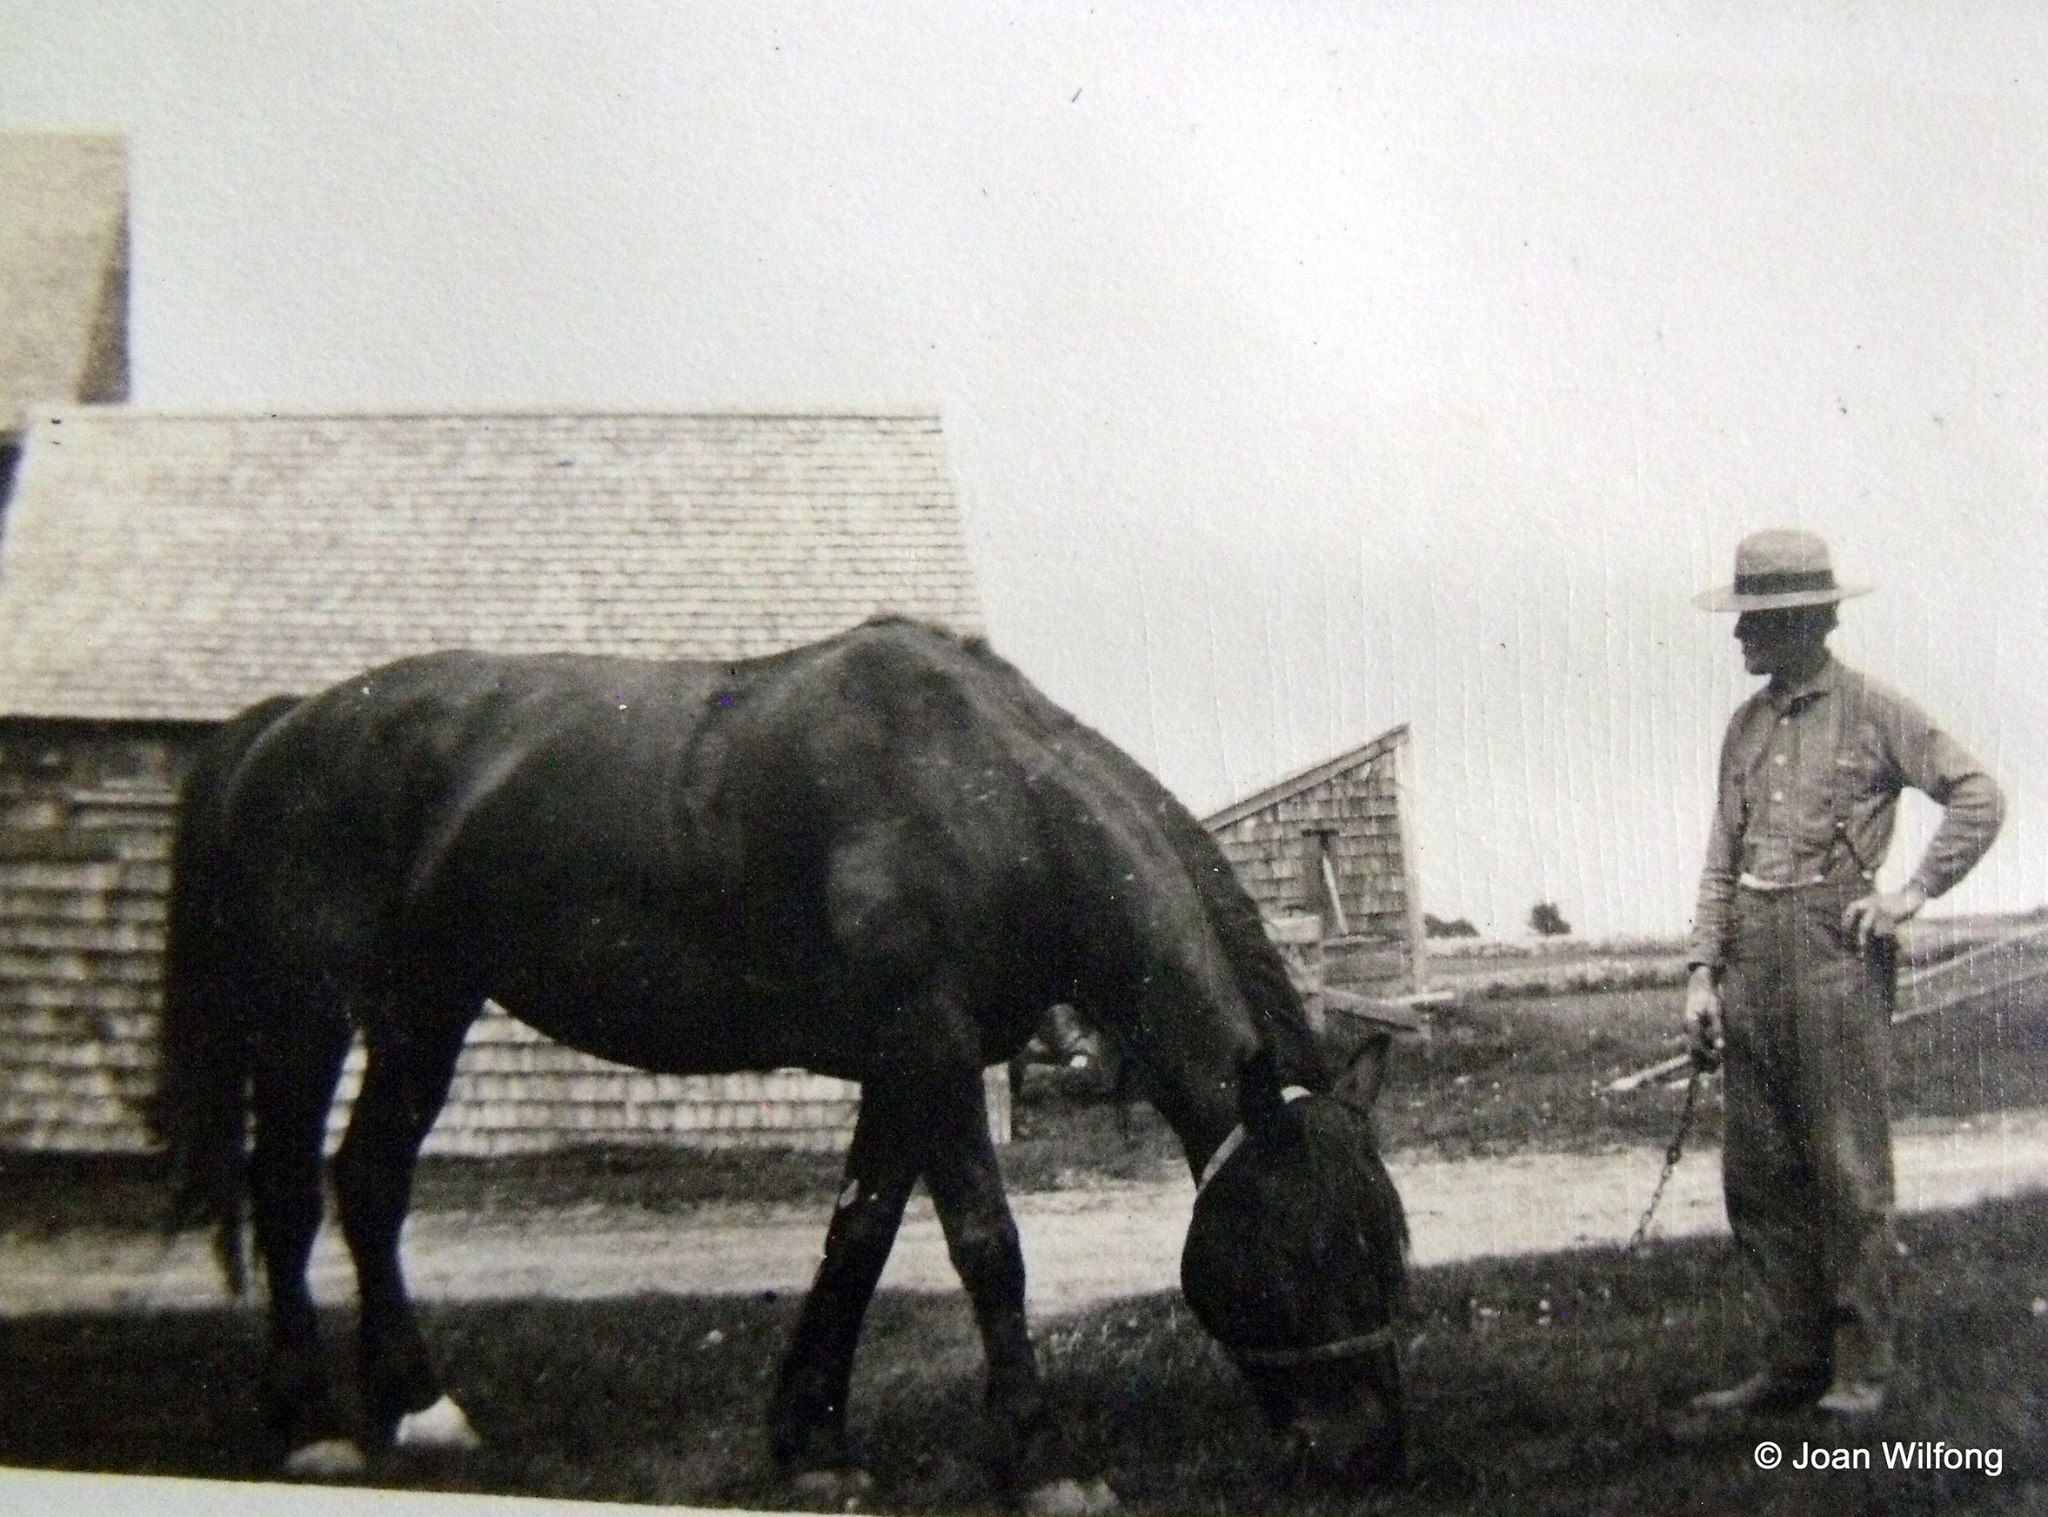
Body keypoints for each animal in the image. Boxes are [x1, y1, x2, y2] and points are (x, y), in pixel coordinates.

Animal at [152, 616, 1408, 1504]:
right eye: (1301, 1249)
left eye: (1389, 1245)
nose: (1367, 1452)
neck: (984, 794)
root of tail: (286, 724)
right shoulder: (928, 1042)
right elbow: (983, 1243)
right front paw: (1039, 1456)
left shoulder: (906, 1064)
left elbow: (859, 1234)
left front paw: (811, 1436)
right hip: (310, 1011)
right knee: (289, 1191)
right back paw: (315, 1421)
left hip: (426, 1006)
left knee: (369, 1180)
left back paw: (420, 1406)